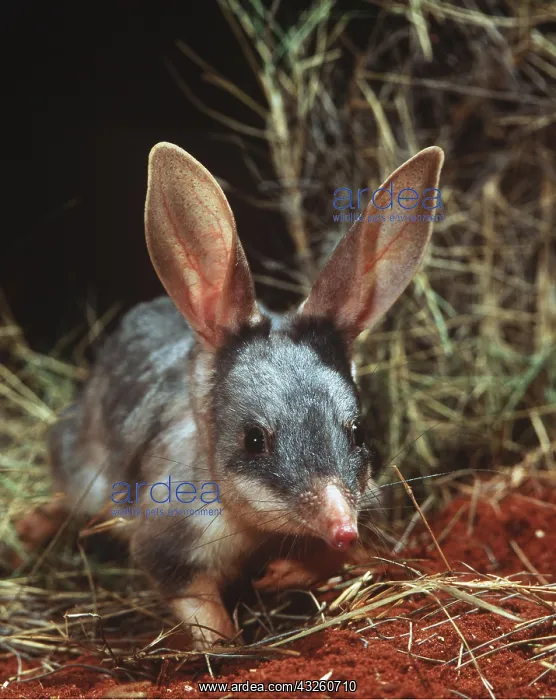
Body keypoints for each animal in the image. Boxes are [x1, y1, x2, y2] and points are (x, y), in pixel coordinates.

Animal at [18, 142, 444, 648]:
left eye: (359, 432)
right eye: (253, 439)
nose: (342, 528)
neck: (254, 527)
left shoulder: (368, 501)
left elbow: (335, 558)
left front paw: (281, 574)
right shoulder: (171, 538)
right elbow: (199, 606)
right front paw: (228, 646)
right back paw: (27, 529)